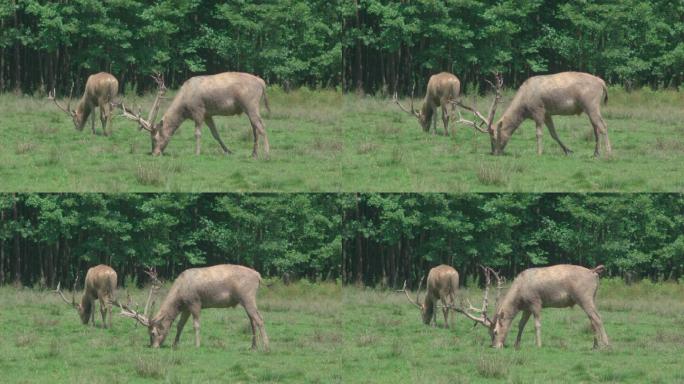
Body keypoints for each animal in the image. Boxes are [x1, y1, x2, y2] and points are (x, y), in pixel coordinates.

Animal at [116, 264, 268, 352]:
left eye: (152, 333)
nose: (153, 347)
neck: (180, 295)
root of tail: (259, 276)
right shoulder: (186, 307)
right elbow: (180, 325)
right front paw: (174, 344)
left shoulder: (195, 302)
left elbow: (196, 325)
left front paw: (197, 345)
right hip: (245, 300)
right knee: (252, 320)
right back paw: (253, 346)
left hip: (248, 296)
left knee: (259, 319)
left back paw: (266, 347)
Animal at [117, 72, 270, 159]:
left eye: (154, 138)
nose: (155, 153)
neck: (184, 109)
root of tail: (262, 83)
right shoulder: (208, 114)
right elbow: (216, 134)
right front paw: (228, 151)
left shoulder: (198, 111)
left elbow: (197, 133)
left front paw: (196, 153)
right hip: (249, 108)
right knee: (255, 129)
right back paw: (254, 154)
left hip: (251, 104)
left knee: (262, 127)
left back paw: (267, 154)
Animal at [454, 266, 608, 350]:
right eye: (489, 333)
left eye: (495, 332)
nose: (495, 346)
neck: (519, 296)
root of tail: (594, 272)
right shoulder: (526, 308)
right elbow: (521, 324)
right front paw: (516, 345)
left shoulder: (536, 302)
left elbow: (537, 324)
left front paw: (538, 344)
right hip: (591, 298)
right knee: (592, 320)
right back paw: (595, 346)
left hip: (584, 297)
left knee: (597, 318)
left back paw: (606, 345)